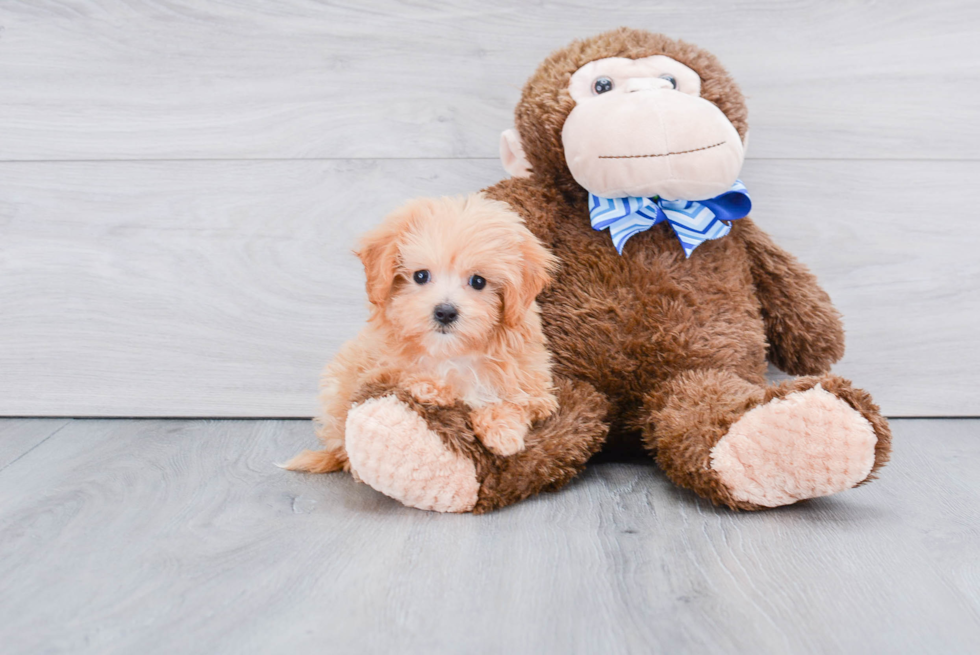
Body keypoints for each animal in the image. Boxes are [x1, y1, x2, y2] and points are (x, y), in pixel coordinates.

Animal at [284, 192, 560, 474]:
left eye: (478, 281)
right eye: (420, 276)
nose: (445, 312)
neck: (452, 354)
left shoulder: (536, 386)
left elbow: (517, 402)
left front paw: (503, 432)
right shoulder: (377, 368)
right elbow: (404, 372)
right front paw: (432, 389)